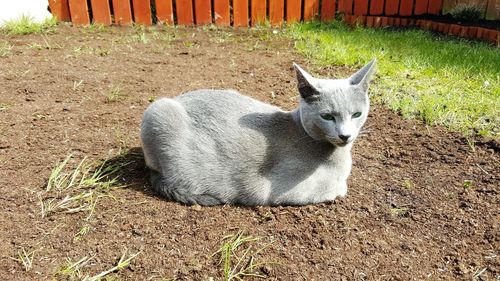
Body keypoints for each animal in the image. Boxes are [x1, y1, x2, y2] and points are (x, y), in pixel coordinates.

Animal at [141, 60, 376, 206]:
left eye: (357, 114)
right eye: (327, 116)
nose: (345, 135)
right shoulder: (282, 189)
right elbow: (339, 188)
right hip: (158, 110)